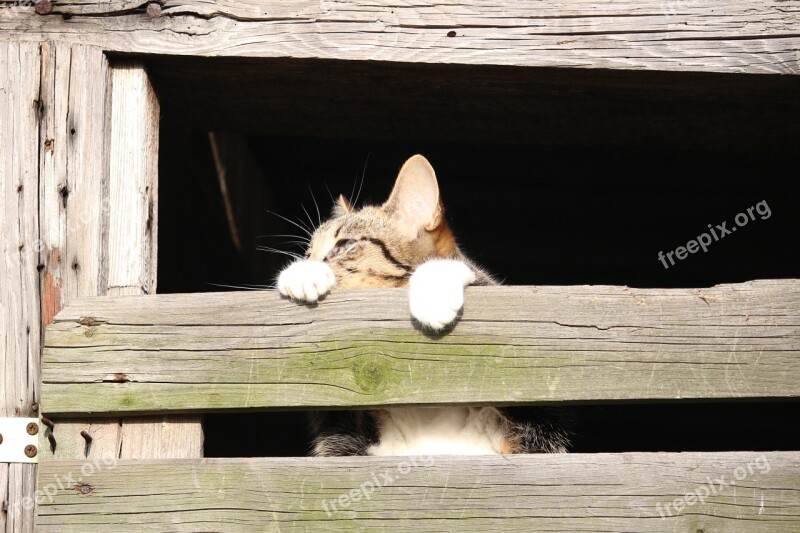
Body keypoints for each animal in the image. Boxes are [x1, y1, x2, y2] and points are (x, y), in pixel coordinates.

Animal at [276, 156, 568, 456]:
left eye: (345, 244)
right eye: (308, 252)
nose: (308, 261)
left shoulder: (536, 426)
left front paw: (434, 294)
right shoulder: (346, 440)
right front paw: (300, 273)